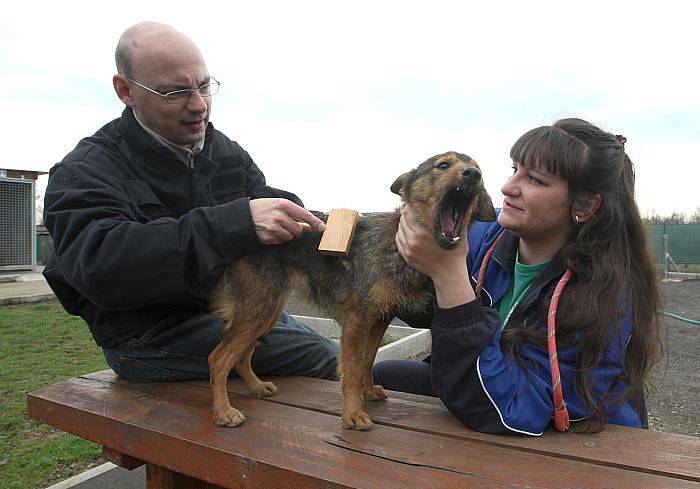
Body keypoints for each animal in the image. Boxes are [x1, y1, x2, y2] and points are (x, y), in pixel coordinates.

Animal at [209, 151, 498, 428]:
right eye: (443, 165)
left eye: (478, 169)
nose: (473, 174)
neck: (395, 242)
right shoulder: (356, 321)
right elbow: (352, 369)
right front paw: (352, 414)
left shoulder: (380, 319)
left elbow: (367, 361)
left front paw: (367, 392)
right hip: (259, 309)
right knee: (218, 358)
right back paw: (224, 412)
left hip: (267, 312)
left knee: (240, 356)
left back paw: (256, 387)